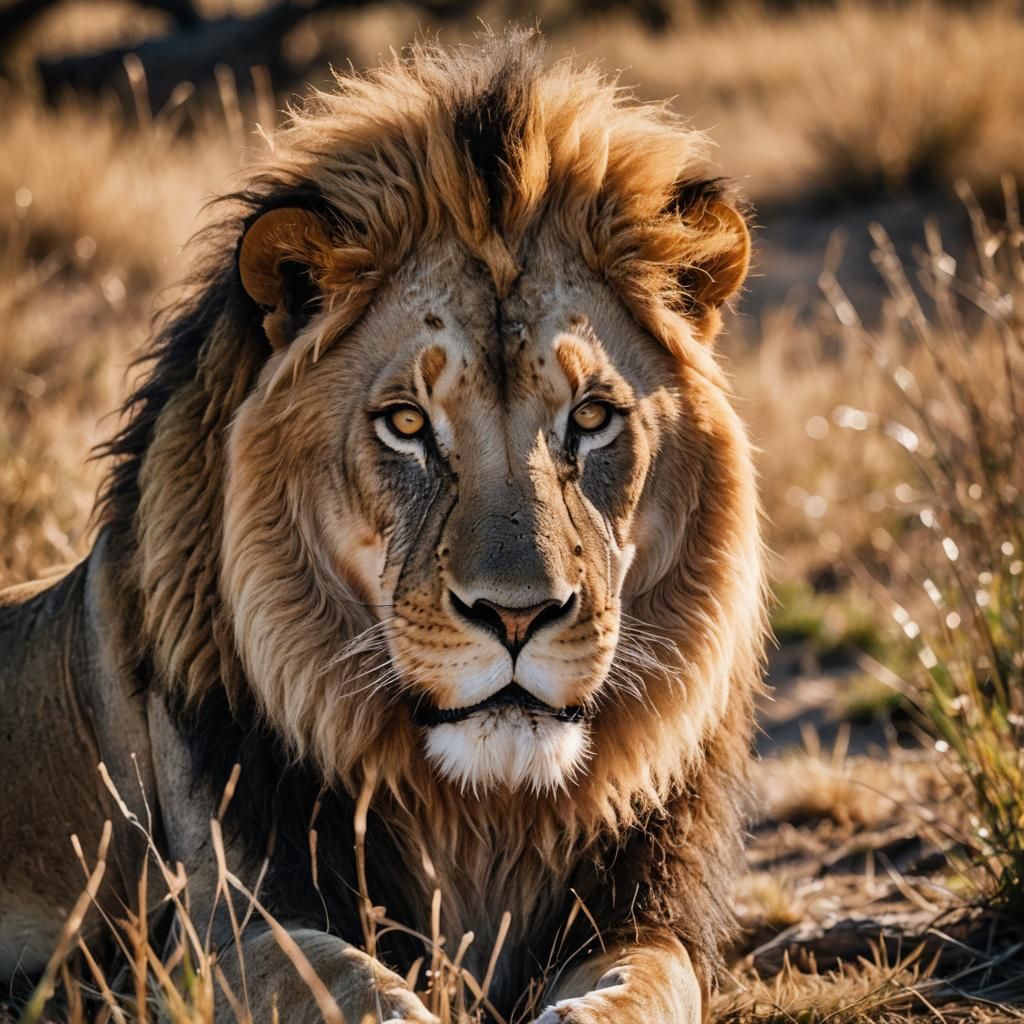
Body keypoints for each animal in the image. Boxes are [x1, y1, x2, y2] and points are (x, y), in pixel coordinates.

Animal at [0, 31, 763, 1024]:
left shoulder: (649, 913)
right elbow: (352, 984)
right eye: (406, 423)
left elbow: (641, 987)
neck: (483, 812)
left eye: (592, 417)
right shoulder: (216, 931)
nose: (516, 616)